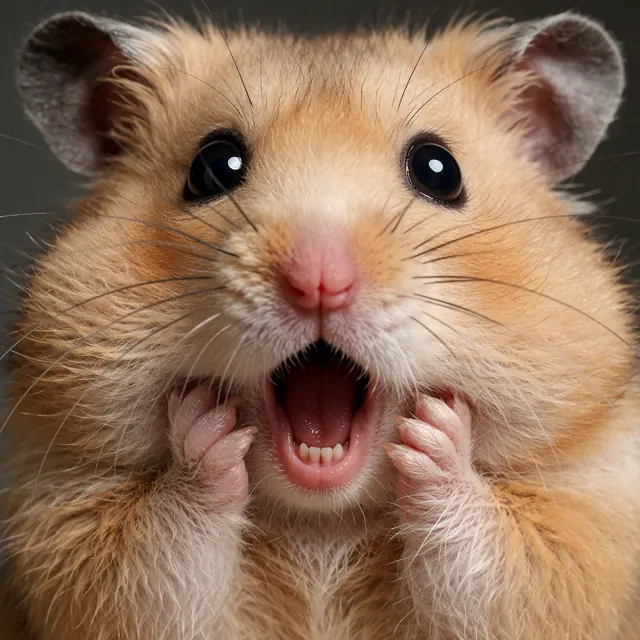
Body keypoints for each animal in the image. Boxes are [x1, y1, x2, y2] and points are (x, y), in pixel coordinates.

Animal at [2, 8, 640, 640]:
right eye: (213, 166)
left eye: (440, 170)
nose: (319, 282)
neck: (324, 524)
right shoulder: (64, 524)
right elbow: (159, 554)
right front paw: (204, 427)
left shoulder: (583, 530)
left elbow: (498, 569)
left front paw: (435, 436)